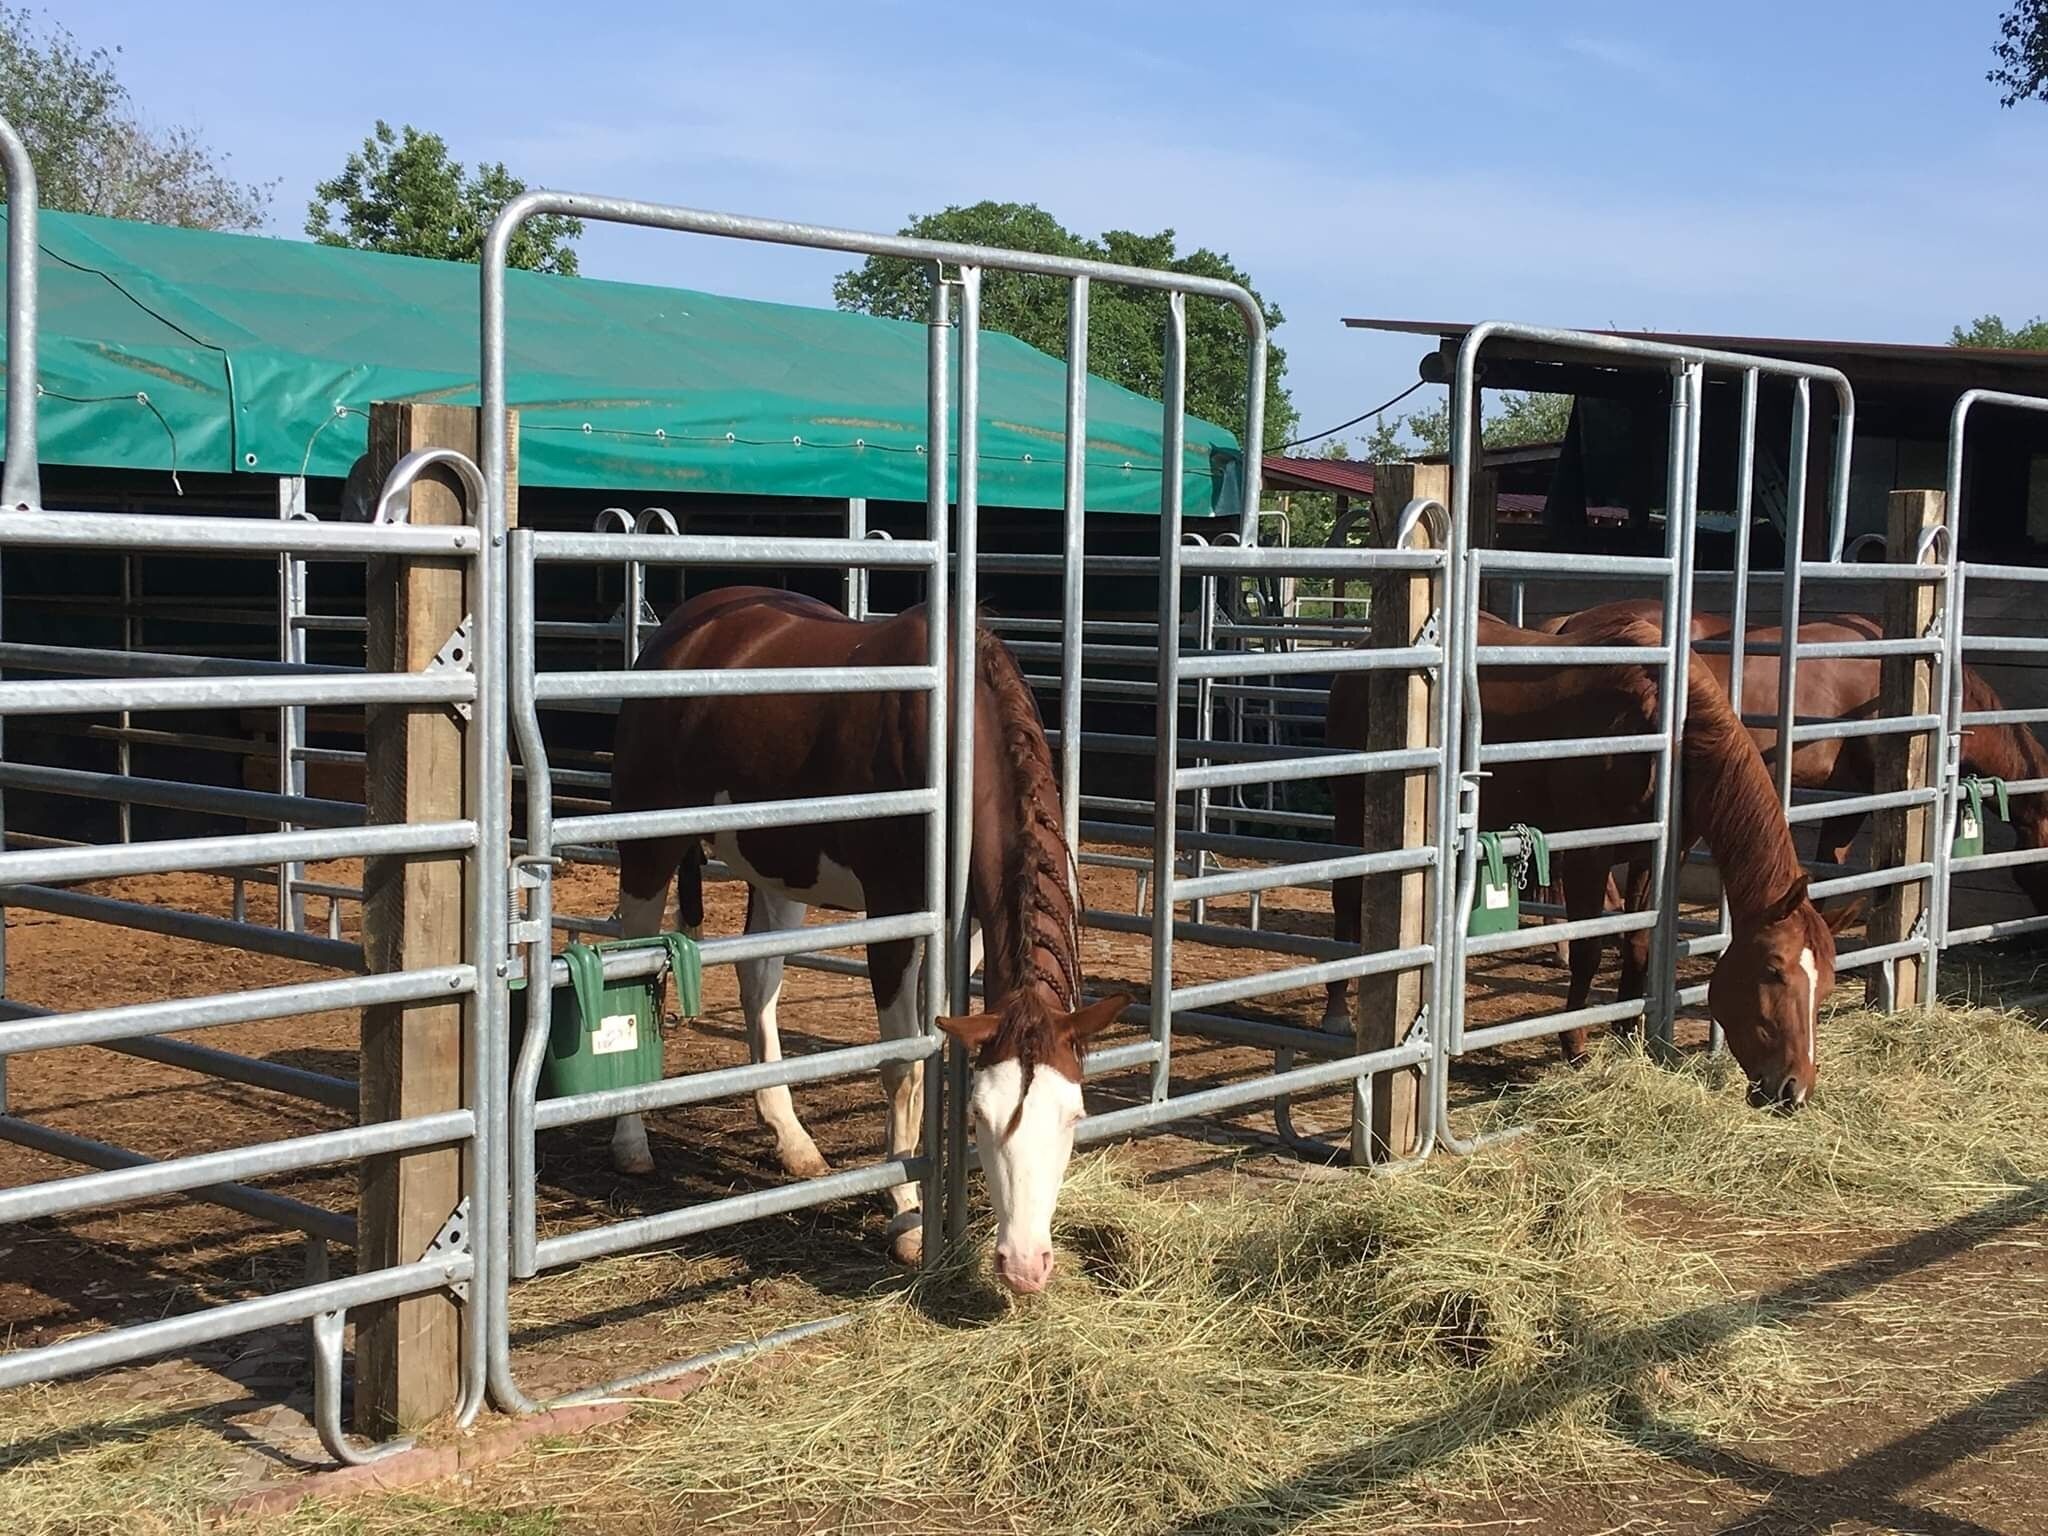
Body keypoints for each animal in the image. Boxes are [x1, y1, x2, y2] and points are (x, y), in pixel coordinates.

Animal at [608, 587, 1129, 1294]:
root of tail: (680, 632)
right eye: (981, 1119)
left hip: (779, 868)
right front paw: (907, 1219)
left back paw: (791, 1139)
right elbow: (903, 1066)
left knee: (758, 983)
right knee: (632, 970)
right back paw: (631, 1144)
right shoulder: (895, 912)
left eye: (1074, 1116)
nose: (1023, 1265)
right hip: (647, 850)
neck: (954, 731)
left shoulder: (963, 929)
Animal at [1325, 609, 1858, 1107]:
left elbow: (1638, 943)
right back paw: (1338, 1012)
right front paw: (1576, 1046)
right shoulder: (1590, 853)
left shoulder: (1656, 853)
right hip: (1354, 813)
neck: (1663, 727)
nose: (1793, 1090)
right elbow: (1588, 950)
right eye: (1774, 970)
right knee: (1346, 900)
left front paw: (1627, 1037)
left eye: (1827, 986)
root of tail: (1365, 650)